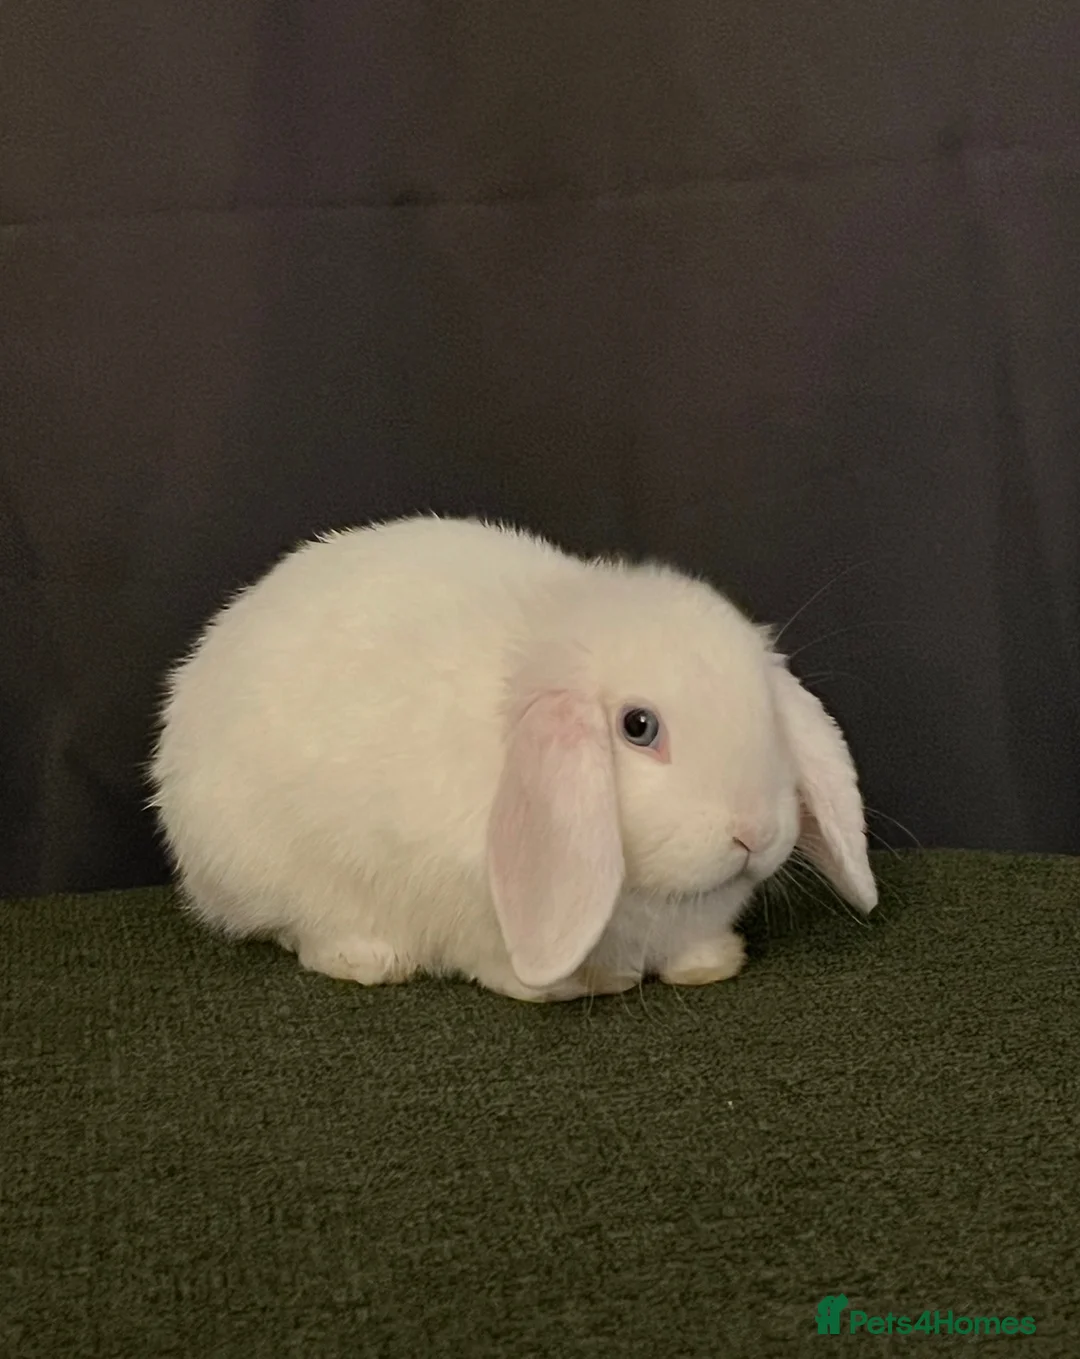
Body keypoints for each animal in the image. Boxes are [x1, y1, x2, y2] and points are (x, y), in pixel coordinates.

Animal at [148, 514, 877, 1002]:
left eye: (768, 713)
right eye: (638, 727)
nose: (753, 832)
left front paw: (710, 964)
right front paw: (581, 984)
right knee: (304, 931)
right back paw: (371, 959)